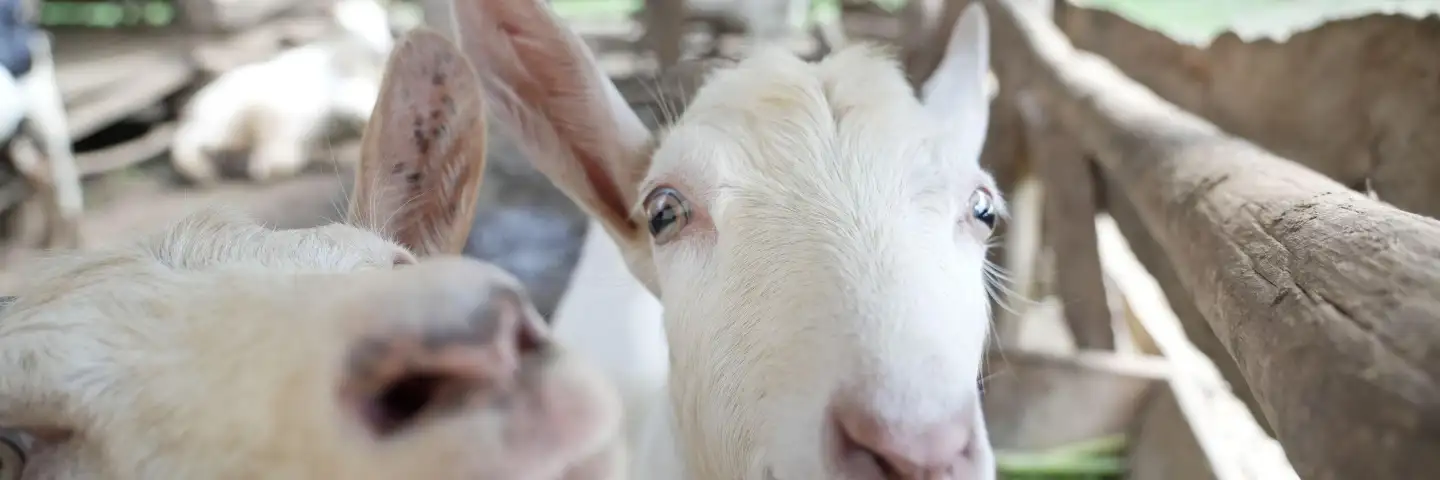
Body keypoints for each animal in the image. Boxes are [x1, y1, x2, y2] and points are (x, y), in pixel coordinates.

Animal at [170, 0, 395, 184]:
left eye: (380, 22)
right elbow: (351, 98)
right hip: (234, 104)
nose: (379, 45)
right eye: (346, 23)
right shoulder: (342, 75)